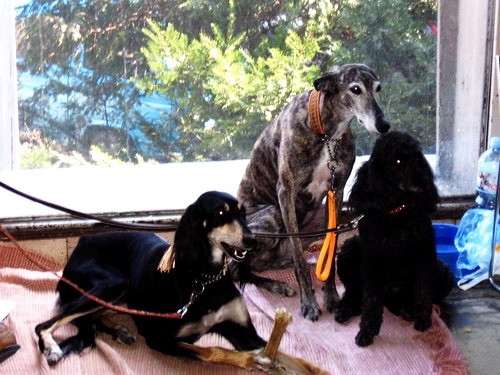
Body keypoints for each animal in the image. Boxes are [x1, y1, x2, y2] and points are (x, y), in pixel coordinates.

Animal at [233, 63, 390, 322]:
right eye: (355, 89)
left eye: (378, 88)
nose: (384, 126)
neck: (326, 134)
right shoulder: (285, 193)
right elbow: (299, 259)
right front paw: (308, 303)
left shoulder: (336, 192)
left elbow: (330, 250)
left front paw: (332, 296)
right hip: (272, 216)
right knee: (238, 272)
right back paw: (278, 285)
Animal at [334, 132, 456, 346]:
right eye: (398, 161)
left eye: (418, 158)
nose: (425, 181)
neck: (397, 212)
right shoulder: (372, 263)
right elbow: (371, 302)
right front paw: (367, 330)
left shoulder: (425, 256)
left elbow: (423, 291)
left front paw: (422, 318)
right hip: (349, 250)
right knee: (354, 291)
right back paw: (346, 309)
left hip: (443, 273)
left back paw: (406, 309)